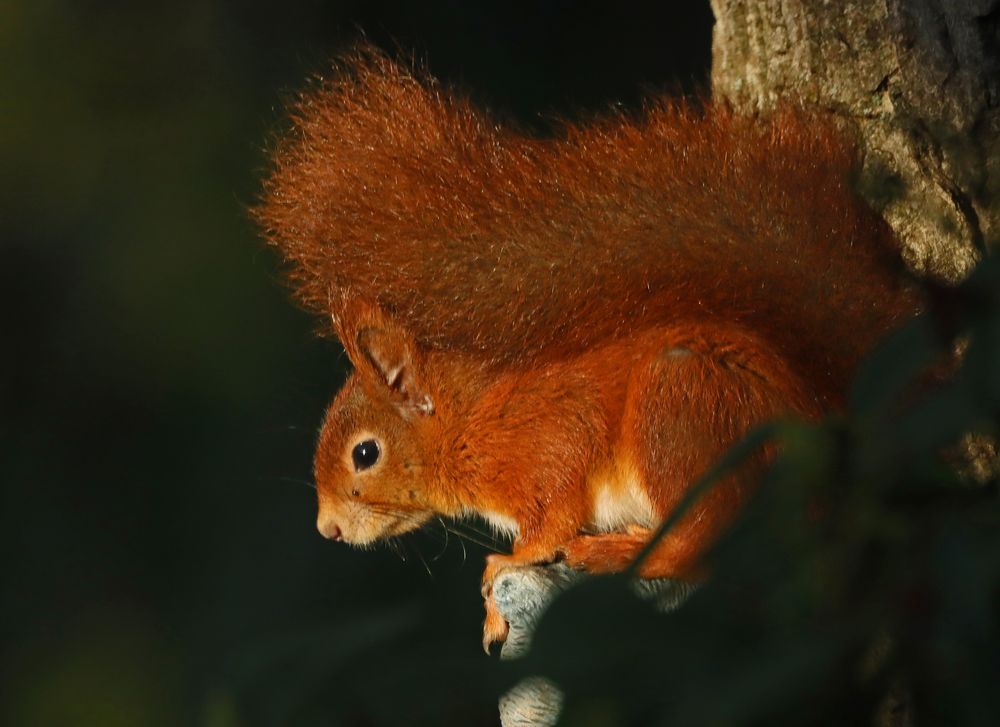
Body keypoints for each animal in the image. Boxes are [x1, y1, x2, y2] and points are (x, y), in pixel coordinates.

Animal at [258, 48, 920, 652]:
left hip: (681, 415)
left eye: (364, 453)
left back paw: (619, 551)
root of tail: (835, 432)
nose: (327, 529)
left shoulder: (544, 441)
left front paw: (503, 566)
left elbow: (550, 519)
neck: (466, 419)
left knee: (700, 543)